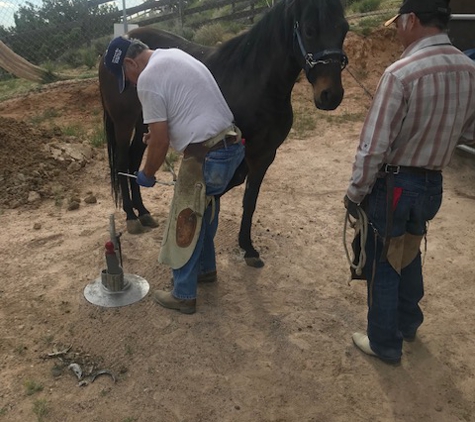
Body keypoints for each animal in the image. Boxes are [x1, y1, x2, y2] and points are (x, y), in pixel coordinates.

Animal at [98, 0, 350, 268]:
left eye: (344, 29)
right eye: (310, 30)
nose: (330, 95)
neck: (254, 81)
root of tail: (109, 51)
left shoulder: (264, 155)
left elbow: (249, 200)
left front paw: (248, 248)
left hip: (147, 124)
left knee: (135, 160)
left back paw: (144, 213)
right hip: (124, 123)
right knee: (123, 161)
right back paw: (131, 216)